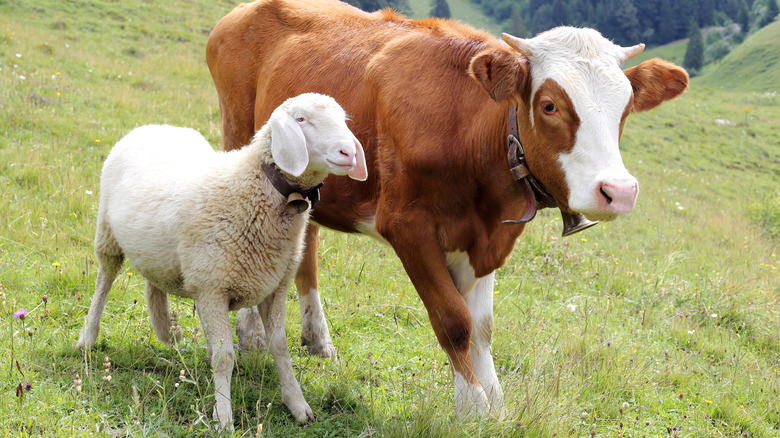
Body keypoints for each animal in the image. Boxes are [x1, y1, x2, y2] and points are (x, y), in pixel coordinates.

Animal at [75, 93, 368, 429]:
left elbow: (279, 348)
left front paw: (297, 405)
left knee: (154, 281)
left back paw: (167, 331)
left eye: (344, 120)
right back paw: (87, 338)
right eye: (301, 119)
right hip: (107, 235)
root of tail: (154, 125)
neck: (251, 190)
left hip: (161, 249)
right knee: (104, 282)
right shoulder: (212, 289)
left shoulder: (274, 287)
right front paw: (223, 415)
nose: (348, 152)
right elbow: (224, 356)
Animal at [206, 0, 688, 417]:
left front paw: (495, 402)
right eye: (550, 105)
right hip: (240, 134)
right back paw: (251, 330)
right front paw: (472, 406)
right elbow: (454, 320)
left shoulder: (490, 236)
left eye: (625, 109)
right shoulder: (407, 227)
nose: (619, 191)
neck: (468, 129)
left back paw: (317, 336)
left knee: (308, 241)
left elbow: (484, 324)